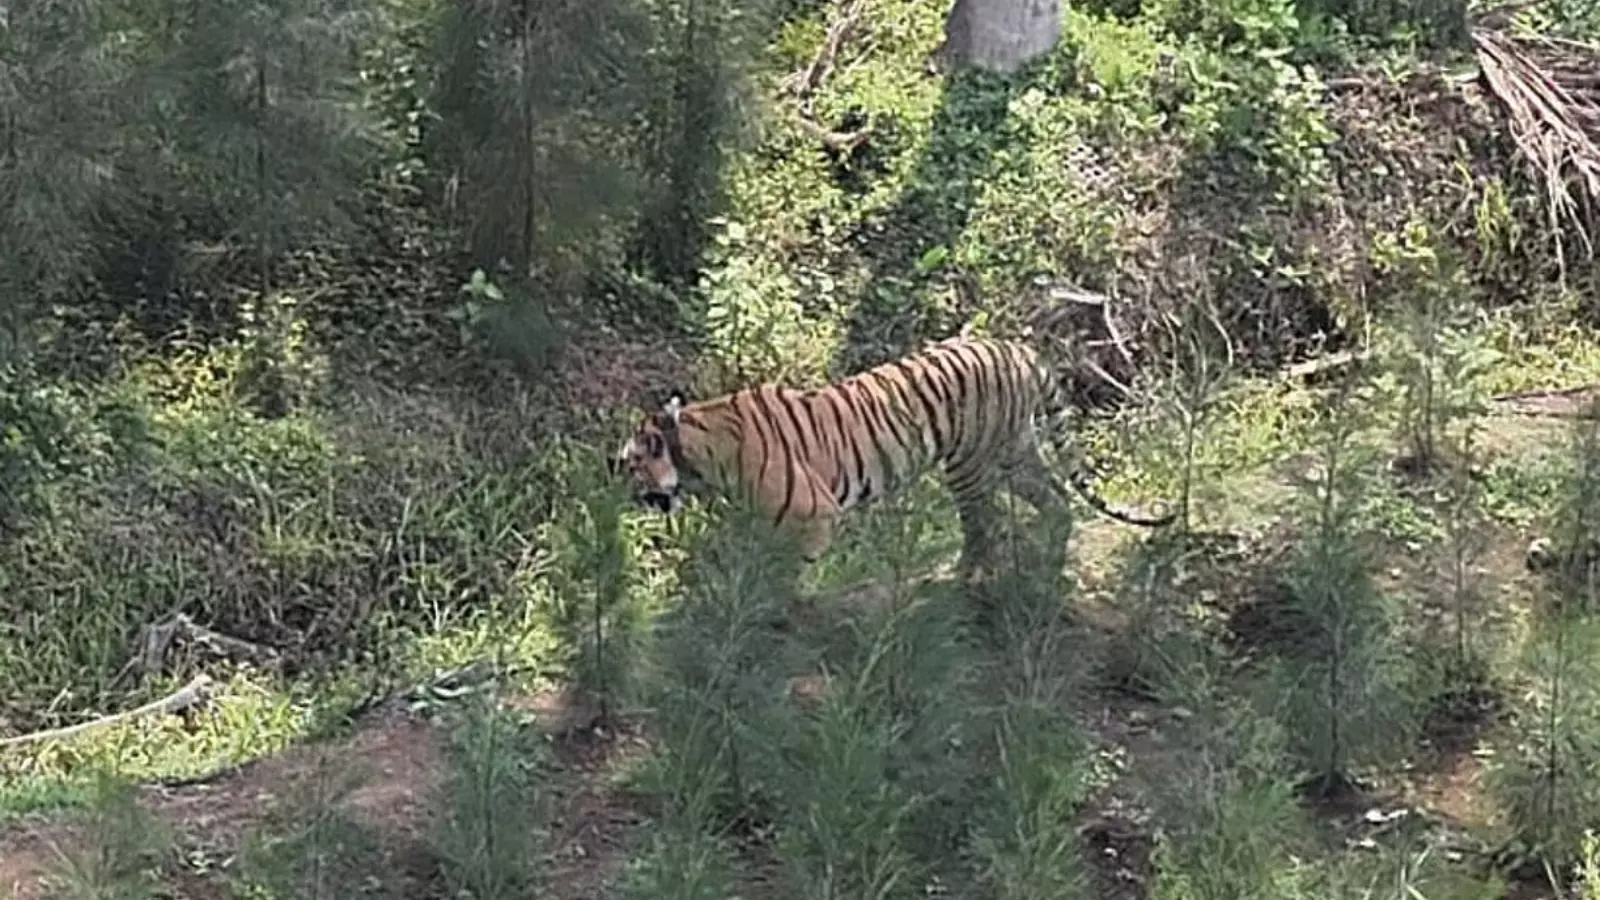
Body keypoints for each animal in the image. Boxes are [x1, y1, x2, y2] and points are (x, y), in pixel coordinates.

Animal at [610, 335, 1176, 573]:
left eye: (632, 462)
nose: (623, 491)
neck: (699, 457)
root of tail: (1017, 348)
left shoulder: (810, 513)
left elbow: (788, 572)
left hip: (970, 463)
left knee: (984, 523)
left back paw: (971, 575)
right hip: (1014, 451)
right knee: (1056, 498)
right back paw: (1052, 556)